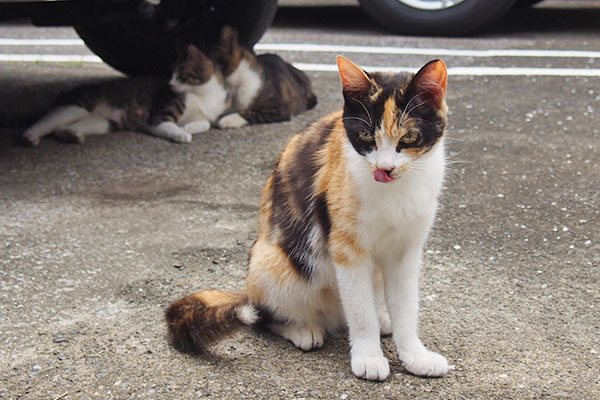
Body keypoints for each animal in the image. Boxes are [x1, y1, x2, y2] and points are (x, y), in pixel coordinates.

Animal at [21, 44, 227, 145]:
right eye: (171, 75)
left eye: (180, 76)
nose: (169, 84)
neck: (203, 94)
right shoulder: (158, 115)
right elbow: (168, 125)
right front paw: (181, 134)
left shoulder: (207, 114)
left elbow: (206, 123)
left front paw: (190, 128)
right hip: (78, 106)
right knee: (45, 122)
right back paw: (29, 137)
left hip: (101, 122)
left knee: (61, 128)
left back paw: (72, 135)